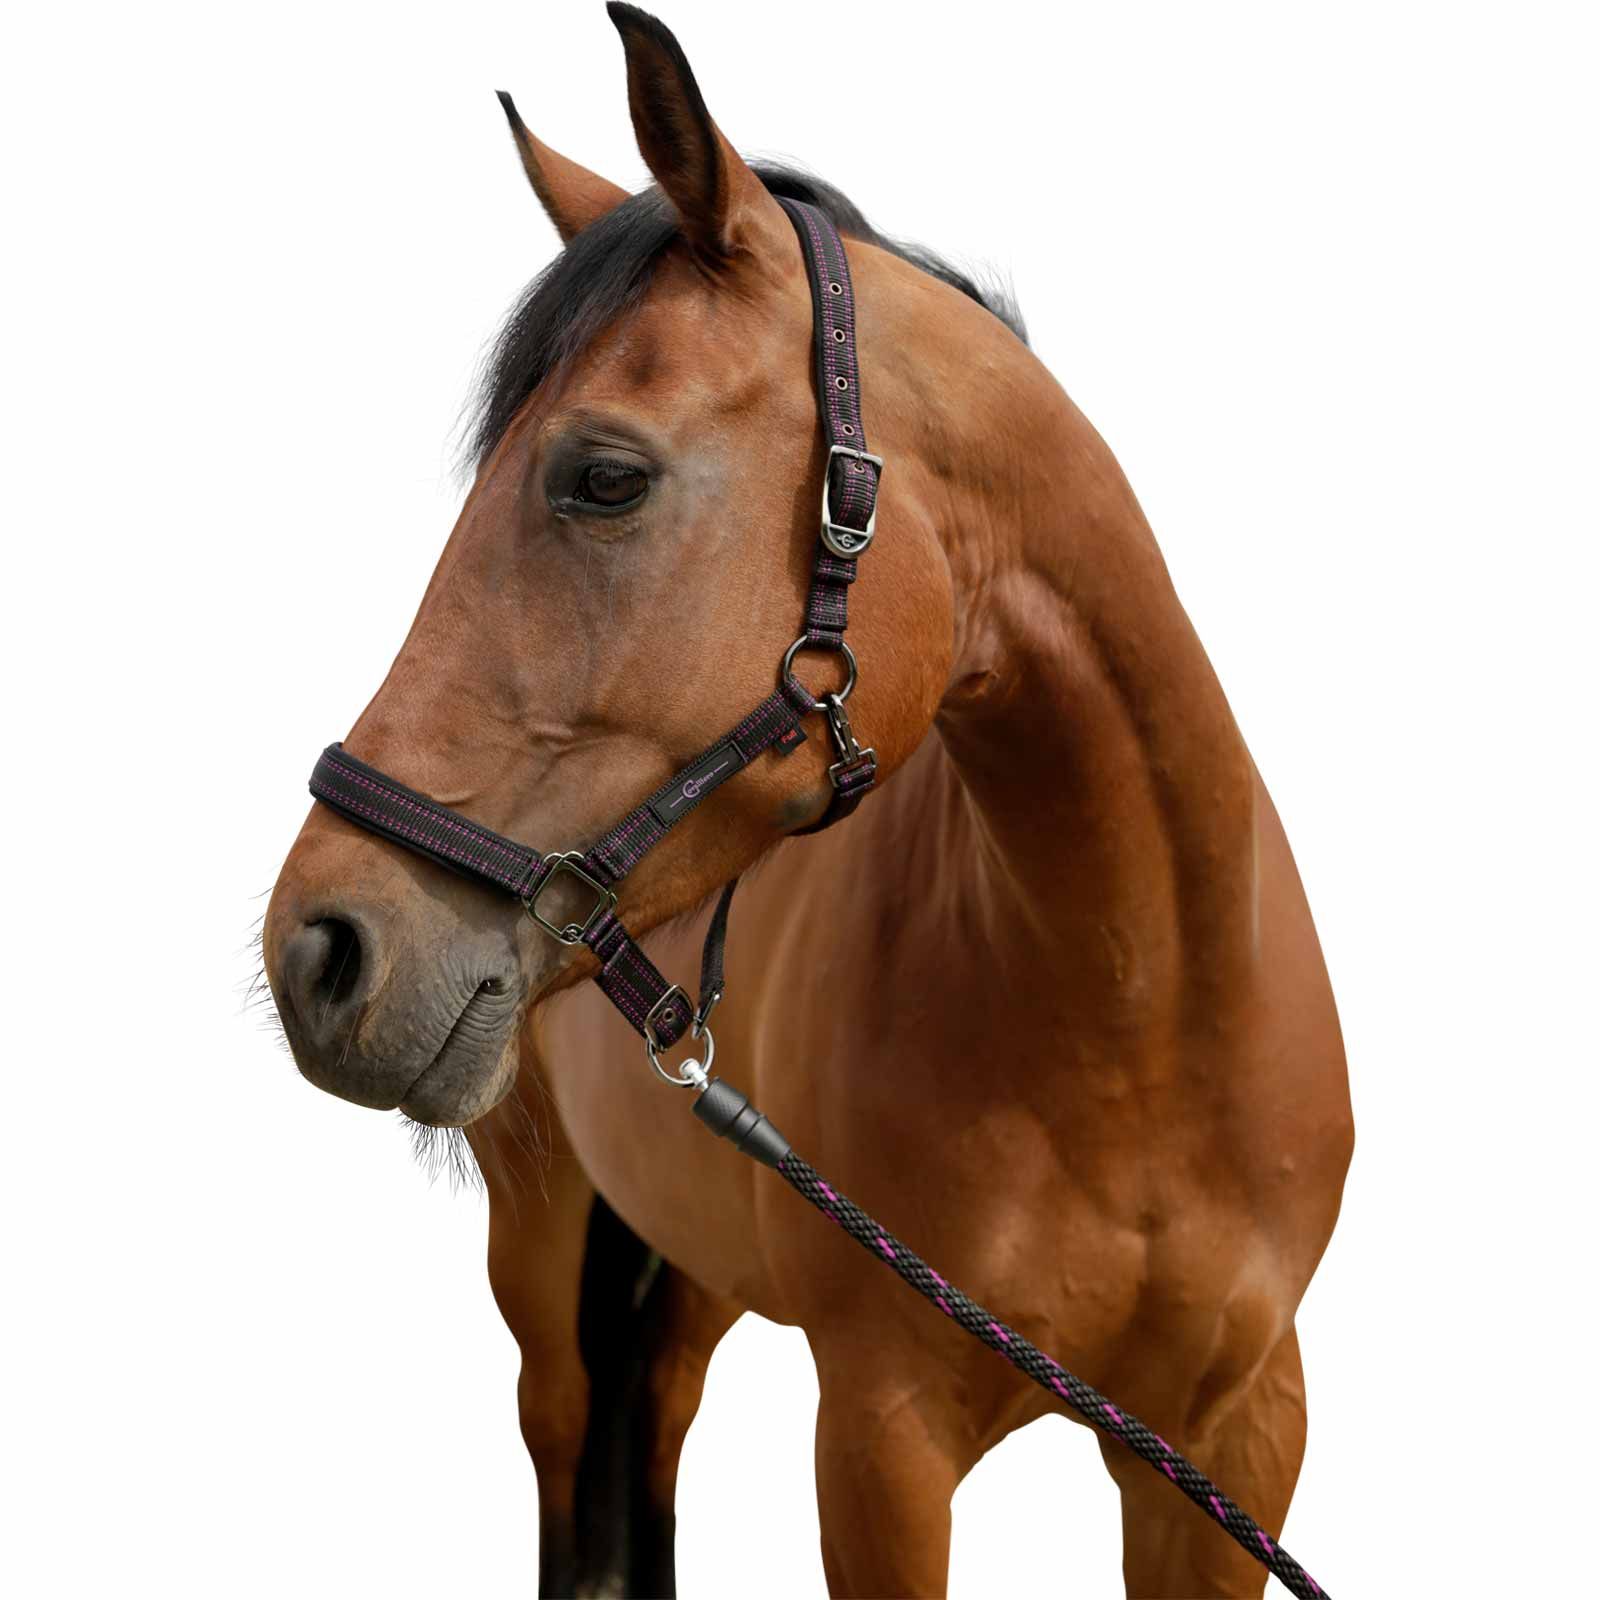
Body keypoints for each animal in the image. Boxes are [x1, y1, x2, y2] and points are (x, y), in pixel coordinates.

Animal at [263, 6, 1353, 1595]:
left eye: (603, 477)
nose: (319, 950)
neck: (1136, 1025)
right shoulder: (884, 1437)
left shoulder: (1233, 1443)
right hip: (542, 1234)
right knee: (565, 1432)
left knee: (653, 1416)